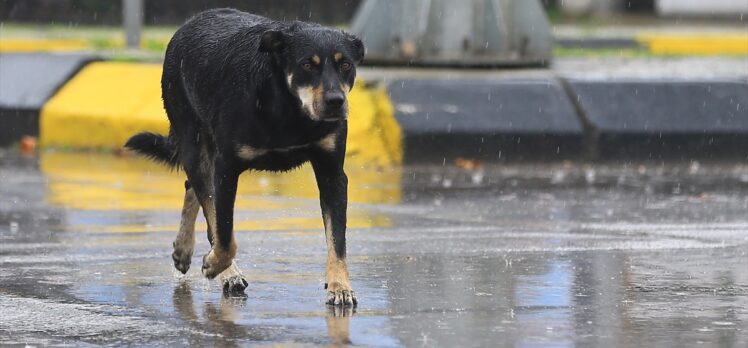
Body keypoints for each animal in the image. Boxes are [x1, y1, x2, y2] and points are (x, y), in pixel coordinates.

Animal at [126, 8, 366, 308]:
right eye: (307, 65)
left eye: (345, 65)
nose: (336, 101)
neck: (288, 109)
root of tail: (190, 22)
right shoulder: (226, 169)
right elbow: (224, 233)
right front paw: (215, 265)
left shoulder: (332, 172)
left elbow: (338, 239)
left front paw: (339, 286)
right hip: (193, 142)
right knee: (206, 204)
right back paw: (223, 269)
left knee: (193, 188)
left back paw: (184, 250)